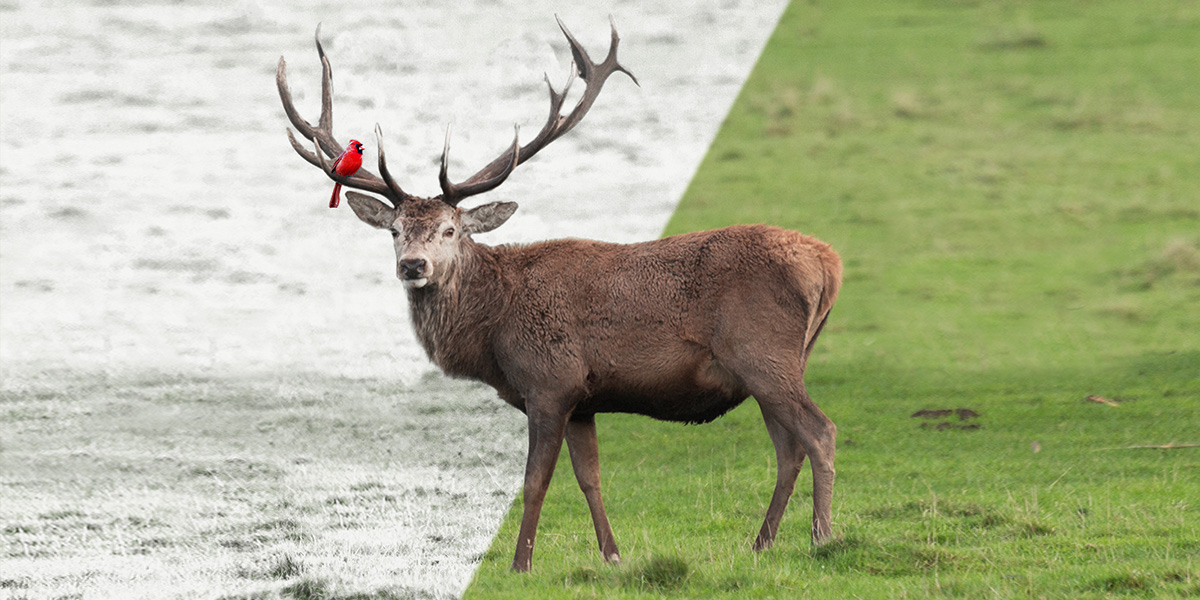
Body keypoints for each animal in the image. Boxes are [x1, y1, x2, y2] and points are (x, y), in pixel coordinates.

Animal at [277, 18, 842, 573]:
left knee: (820, 431)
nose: (413, 266)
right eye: (394, 230)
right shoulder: (584, 398)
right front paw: (612, 555)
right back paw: (761, 545)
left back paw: (822, 538)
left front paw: (519, 565)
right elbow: (589, 477)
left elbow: (536, 482)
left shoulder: (549, 382)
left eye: (449, 230)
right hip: (777, 363)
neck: (494, 331)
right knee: (788, 448)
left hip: (761, 352)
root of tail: (829, 264)